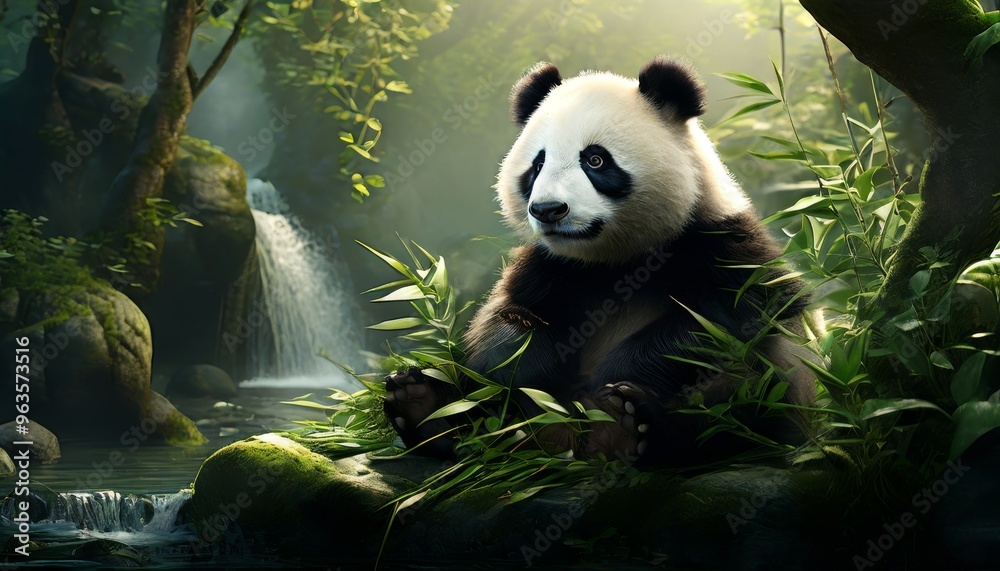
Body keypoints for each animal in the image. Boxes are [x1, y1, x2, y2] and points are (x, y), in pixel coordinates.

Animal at [384, 55, 819, 465]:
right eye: (537, 164)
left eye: (595, 160)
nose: (548, 210)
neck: (615, 257)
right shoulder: (551, 265)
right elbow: (510, 320)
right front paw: (520, 376)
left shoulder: (717, 241)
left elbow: (732, 314)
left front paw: (613, 383)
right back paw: (427, 410)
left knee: (742, 398)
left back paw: (636, 427)